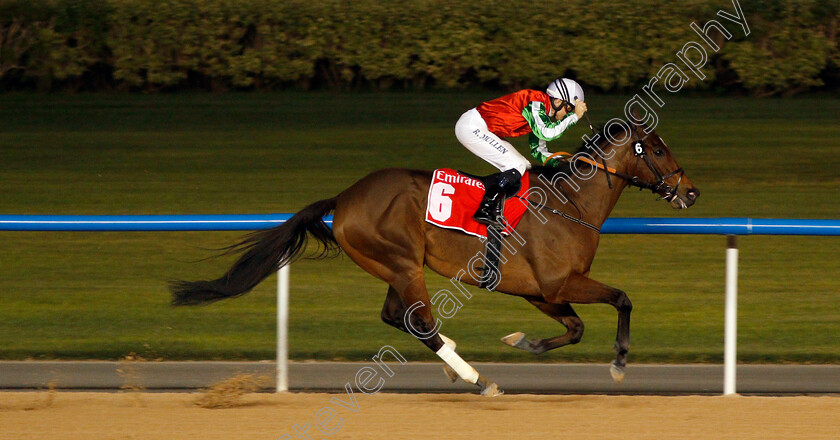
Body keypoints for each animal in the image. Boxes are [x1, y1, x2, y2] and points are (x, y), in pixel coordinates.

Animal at [169, 119, 696, 396]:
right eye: (658, 149)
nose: (690, 191)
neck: (571, 204)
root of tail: (346, 196)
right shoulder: (557, 283)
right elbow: (622, 299)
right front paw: (619, 361)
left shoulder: (539, 292)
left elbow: (576, 328)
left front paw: (523, 342)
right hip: (403, 263)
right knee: (419, 321)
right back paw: (476, 378)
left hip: (394, 265)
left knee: (397, 316)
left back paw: (455, 361)